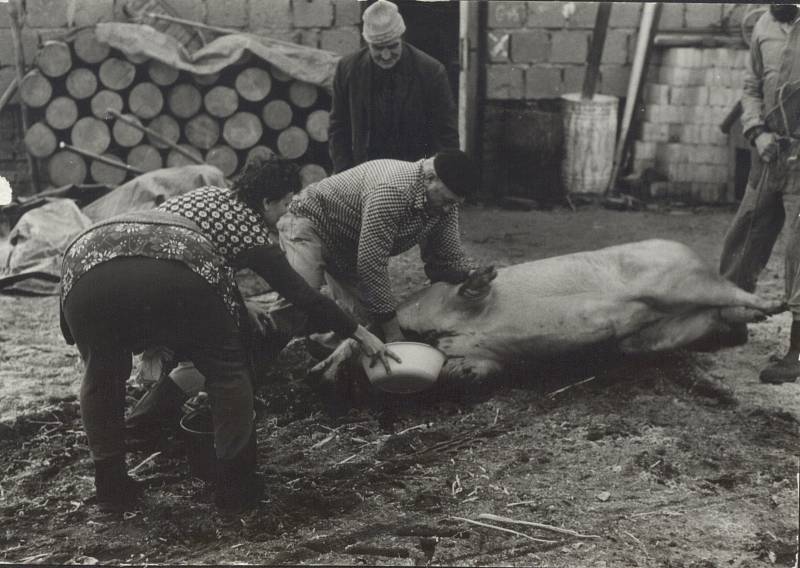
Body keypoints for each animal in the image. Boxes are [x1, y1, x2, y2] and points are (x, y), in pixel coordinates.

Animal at [310, 240, 780, 390]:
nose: (322, 373)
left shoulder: (447, 297)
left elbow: (469, 290)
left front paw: (484, 272)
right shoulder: (486, 357)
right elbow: (471, 373)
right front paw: (459, 375)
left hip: (683, 281)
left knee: (735, 293)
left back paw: (777, 306)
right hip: (658, 331)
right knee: (720, 315)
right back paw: (749, 323)